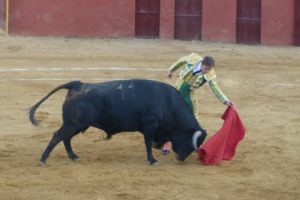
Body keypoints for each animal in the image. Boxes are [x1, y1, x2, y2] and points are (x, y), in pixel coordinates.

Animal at [29, 79, 206, 166]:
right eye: (190, 143)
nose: (180, 159)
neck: (167, 104)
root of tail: (78, 85)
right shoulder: (150, 126)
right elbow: (148, 143)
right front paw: (152, 160)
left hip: (77, 125)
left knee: (65, 138)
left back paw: (74, 157)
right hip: (73, 123)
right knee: (57, 136)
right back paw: (43, 160)